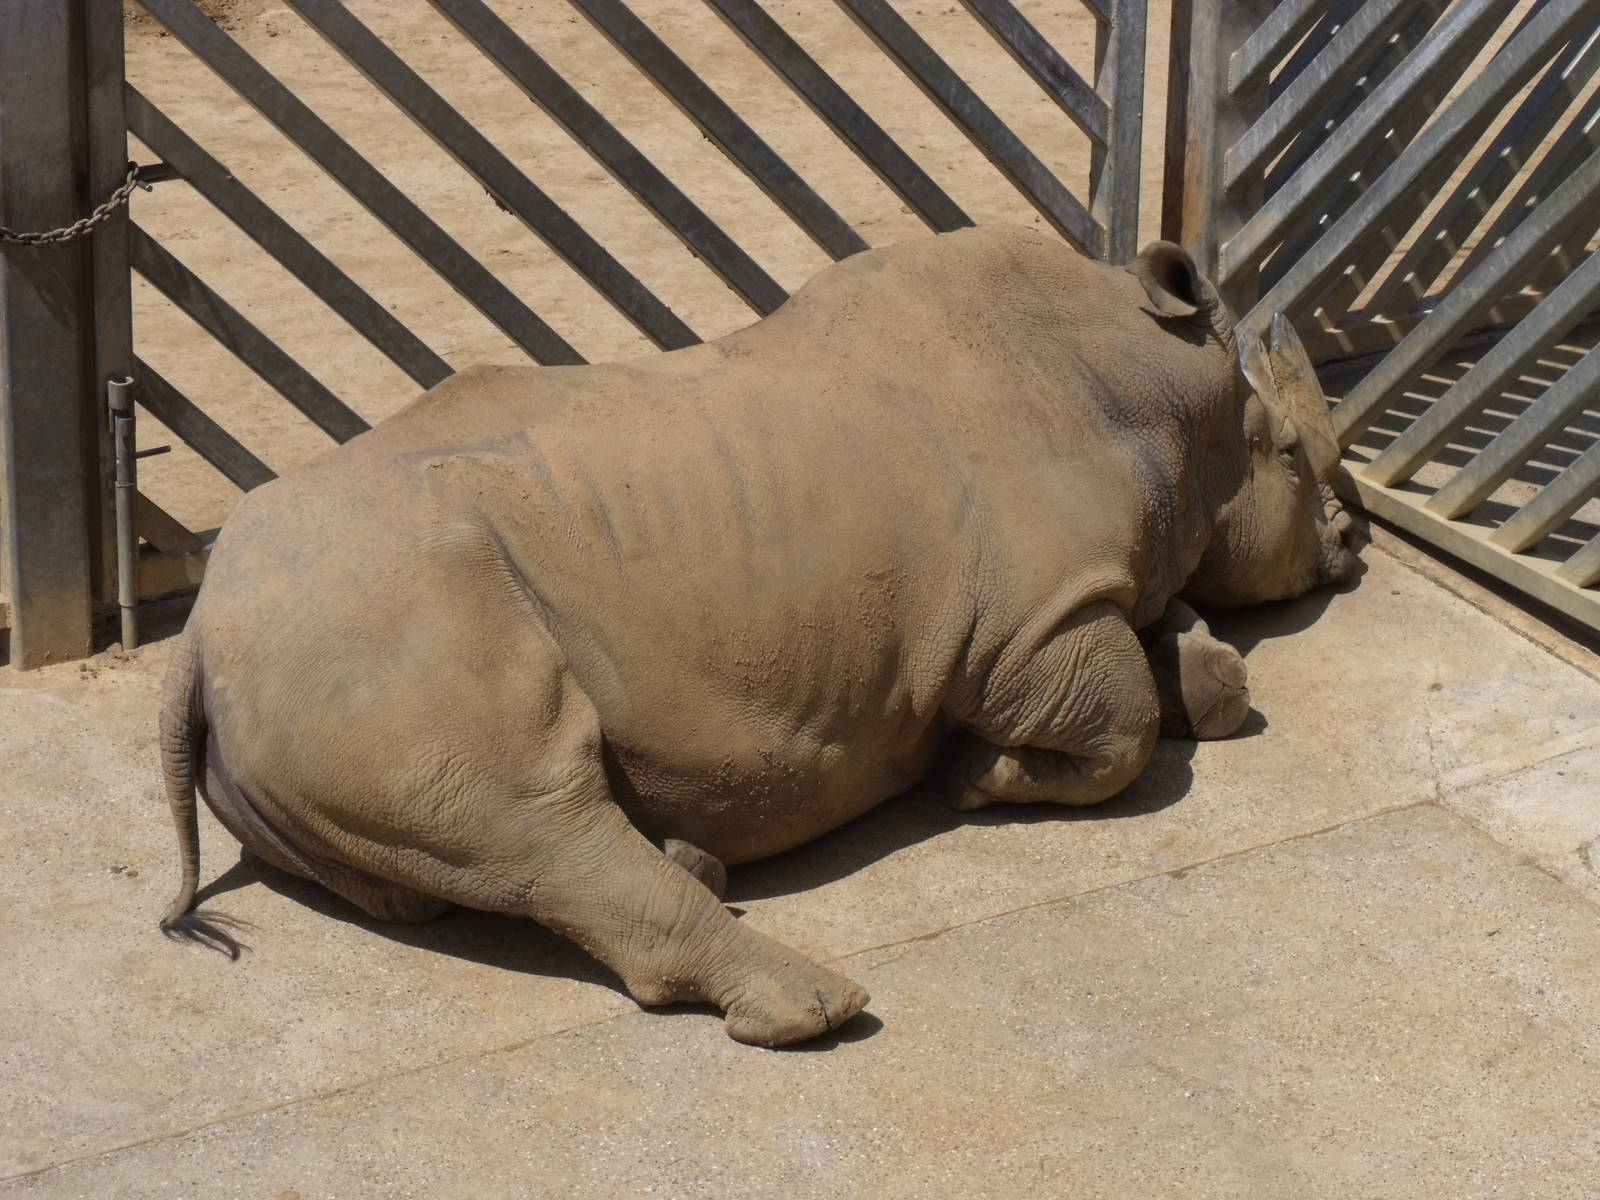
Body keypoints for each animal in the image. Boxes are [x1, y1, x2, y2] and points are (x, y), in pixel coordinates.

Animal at [158, 225, 1356, 1046]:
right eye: (1297, 457)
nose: (1348, 548)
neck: (1158, 395)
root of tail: (199, 639)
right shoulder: (1026, 625)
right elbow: (1123, 728)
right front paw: (978, 779)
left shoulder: (1089, 590)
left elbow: (1191, 673)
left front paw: (1198, 669)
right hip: (370, 632)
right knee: (531, 814)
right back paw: (814, 1004)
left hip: (308, 666)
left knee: (448, 866)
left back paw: (694, 857)